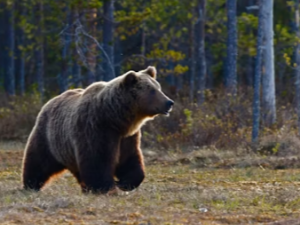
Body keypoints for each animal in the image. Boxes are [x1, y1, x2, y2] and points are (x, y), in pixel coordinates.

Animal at [21, 66, 173, 194]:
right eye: (152, 90)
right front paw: (105, 187)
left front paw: (124, 183)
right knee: (38, 161)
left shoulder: (127, 137)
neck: (115, 118)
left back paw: (84, 188)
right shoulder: (96, 128)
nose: (169, 102)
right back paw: (31, 185)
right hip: (49, 138)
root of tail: (51, 100)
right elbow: (97, 160)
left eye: (158, 88)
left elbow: (130, 159)